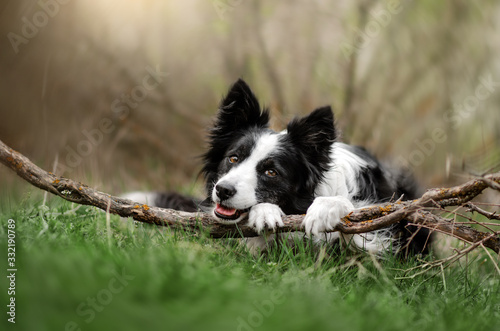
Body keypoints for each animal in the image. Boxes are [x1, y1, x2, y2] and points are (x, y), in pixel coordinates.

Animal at [123, 80, 432, 256]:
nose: (223, 191)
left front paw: (324, 210)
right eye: (233, 158)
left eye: (271, 172)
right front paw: (265, 213)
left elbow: (356, 226)